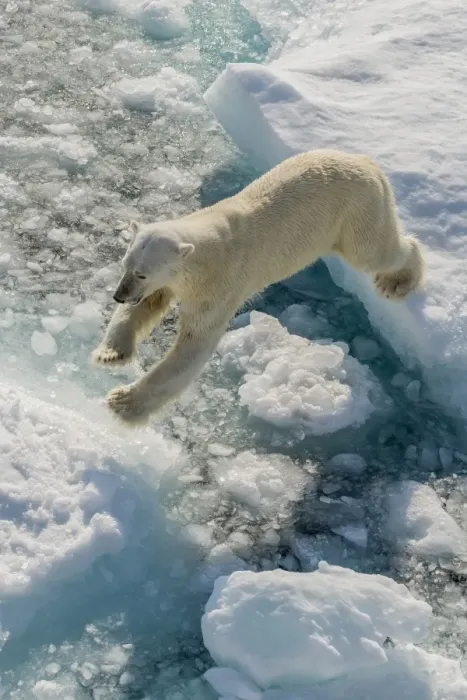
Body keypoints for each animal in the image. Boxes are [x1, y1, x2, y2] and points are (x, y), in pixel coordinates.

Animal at [92, 149, 425, 425]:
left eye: (142, 274)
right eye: (125, 265)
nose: (119, 296)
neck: (206, 250)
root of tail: (366, 161)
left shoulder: (219, 284)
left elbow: (194, 343)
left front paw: (122, 401)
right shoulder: (176, 280)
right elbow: (149, 305)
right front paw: (109, 354)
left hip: (355, 211)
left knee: (374, 252)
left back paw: (397, 280)